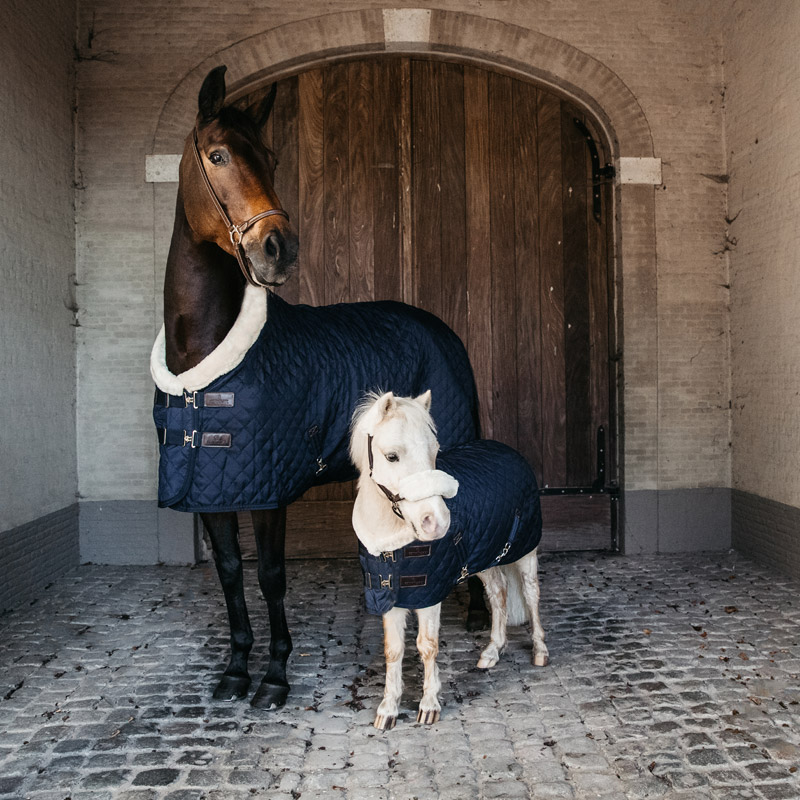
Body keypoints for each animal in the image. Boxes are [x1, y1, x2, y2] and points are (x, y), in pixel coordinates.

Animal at [151, 65, 482, 709]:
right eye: (218, 154)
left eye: (272, 156)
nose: (279, 248)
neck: (203, 366)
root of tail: (439, 327)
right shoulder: (212, 489)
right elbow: (231, 571)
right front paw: (236, 669)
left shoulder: (267, 490)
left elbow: (270, 574)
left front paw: (275, 676)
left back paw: (480, 611)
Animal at [349, 391, 549, 730]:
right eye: (392, 456)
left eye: (434, 452)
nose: (437, 523)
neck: (391, 541)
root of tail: (507, 451)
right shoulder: (388, 595)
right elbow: (393, 650)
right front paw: (388, 709)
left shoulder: (429, 593)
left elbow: (426, 645)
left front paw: (429, 706)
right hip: (487, 558)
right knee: (498, 594)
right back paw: (492, 651)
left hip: (524, 551)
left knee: (531, 594)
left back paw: (539, 650)